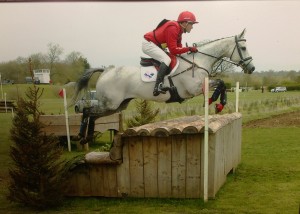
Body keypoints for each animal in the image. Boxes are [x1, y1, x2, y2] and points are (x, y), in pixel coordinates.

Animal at [72, 28, 253, 142]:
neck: (199, 61)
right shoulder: (194, 88)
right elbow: (220, 83)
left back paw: (87, 137)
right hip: (110, 103)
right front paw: (212, 101)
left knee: (93, 115)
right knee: (87, 111)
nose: (251, 68)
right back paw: (82, 136)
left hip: (117, 106)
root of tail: (105, 71)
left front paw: (219, 104)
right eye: (243, 47)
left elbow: (222, 84)